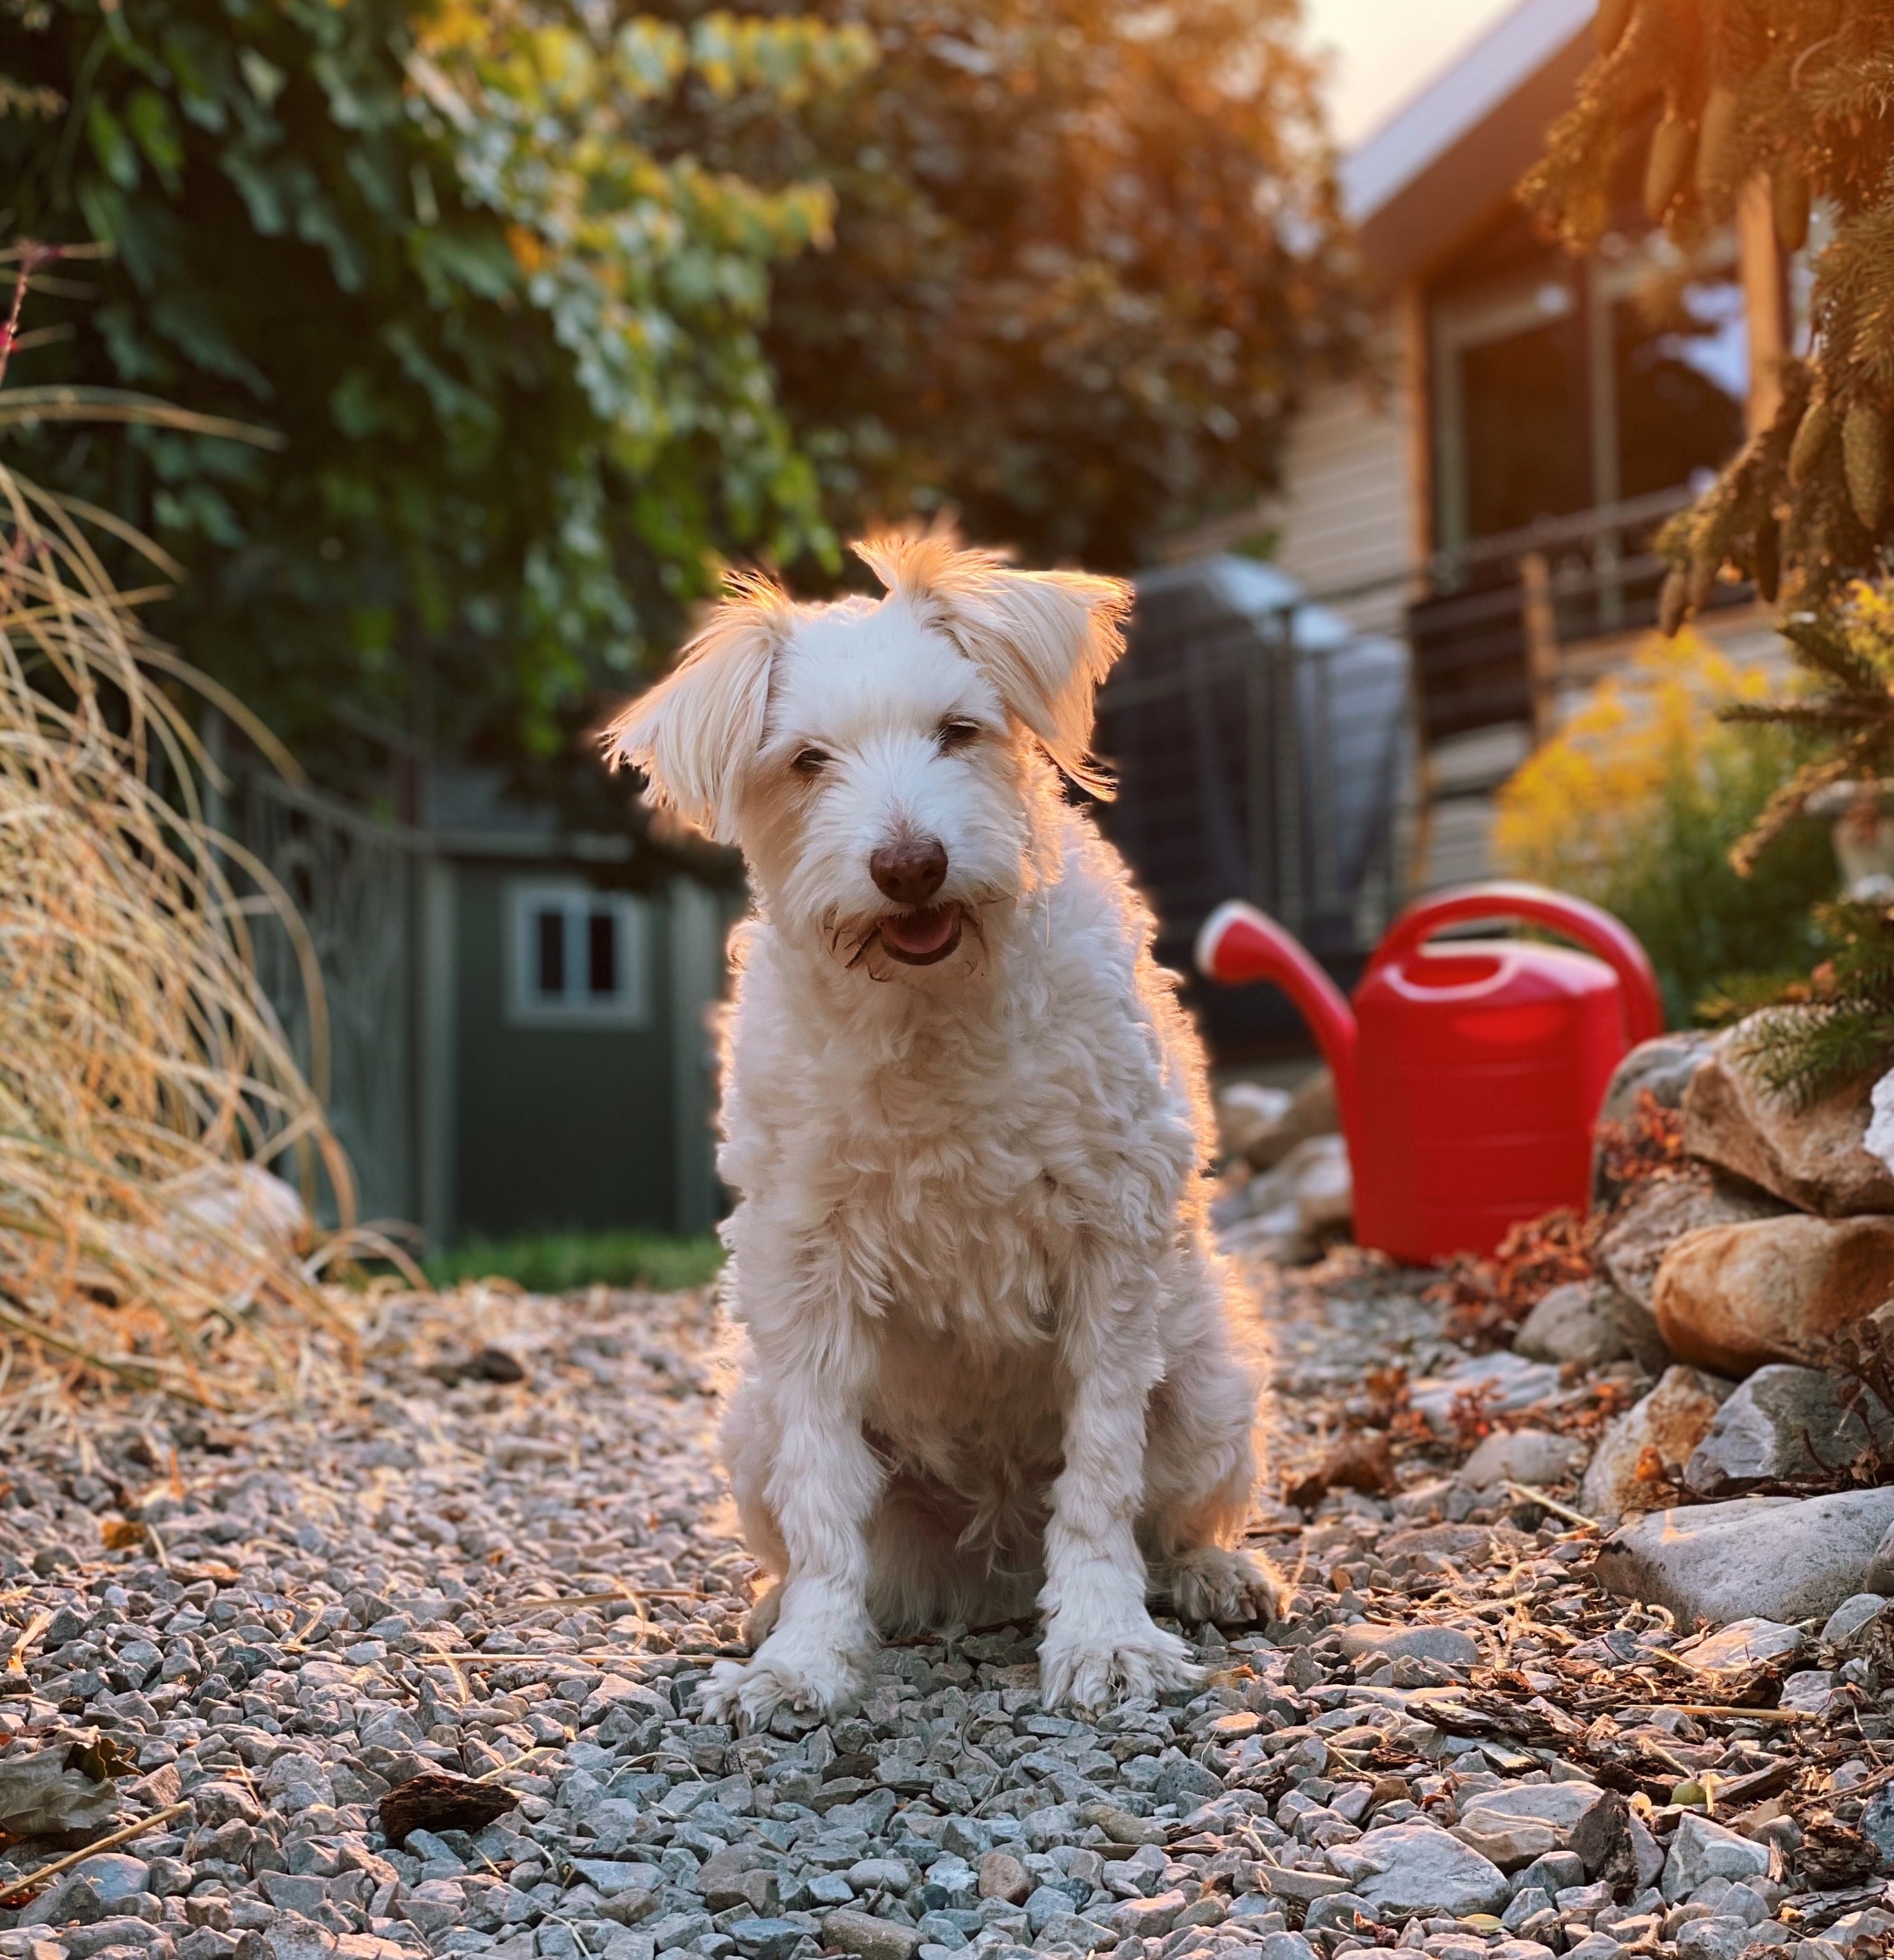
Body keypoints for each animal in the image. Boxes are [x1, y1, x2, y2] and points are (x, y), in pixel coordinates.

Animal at [615, 521, 1286, 1717]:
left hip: (1211, 1383)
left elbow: (1101, 1474)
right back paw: (773, 1607)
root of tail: (991, 1563)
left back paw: (1211, 1573)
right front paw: (805, 1660)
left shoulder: (1109, 1243)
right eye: (807, 762)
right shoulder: (806, 1268)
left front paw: (1104, 1638)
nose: (908, 863)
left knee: (1172, 1517)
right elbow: (825, 1499)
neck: (930, 1010)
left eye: (957, 731)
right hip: (747, 1417)